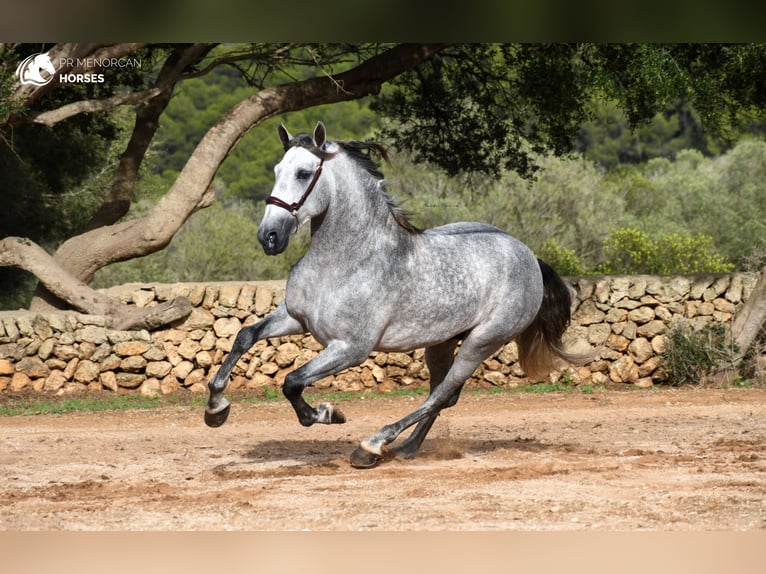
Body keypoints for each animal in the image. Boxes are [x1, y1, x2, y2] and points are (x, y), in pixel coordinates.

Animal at [207, 121, 584, 468]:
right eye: (276, 170)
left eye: (303, 173)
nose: (269, 236)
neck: (345, 261)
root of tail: (528, 256)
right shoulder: (295, 318)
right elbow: (245, 336)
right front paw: (215, 408)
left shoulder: (350, 348)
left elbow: (292, 381)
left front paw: (327, 413)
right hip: (441, 343)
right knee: (442, 396)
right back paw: (406, 448)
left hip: (482, 342)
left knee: (440, 396)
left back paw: (372, 446)